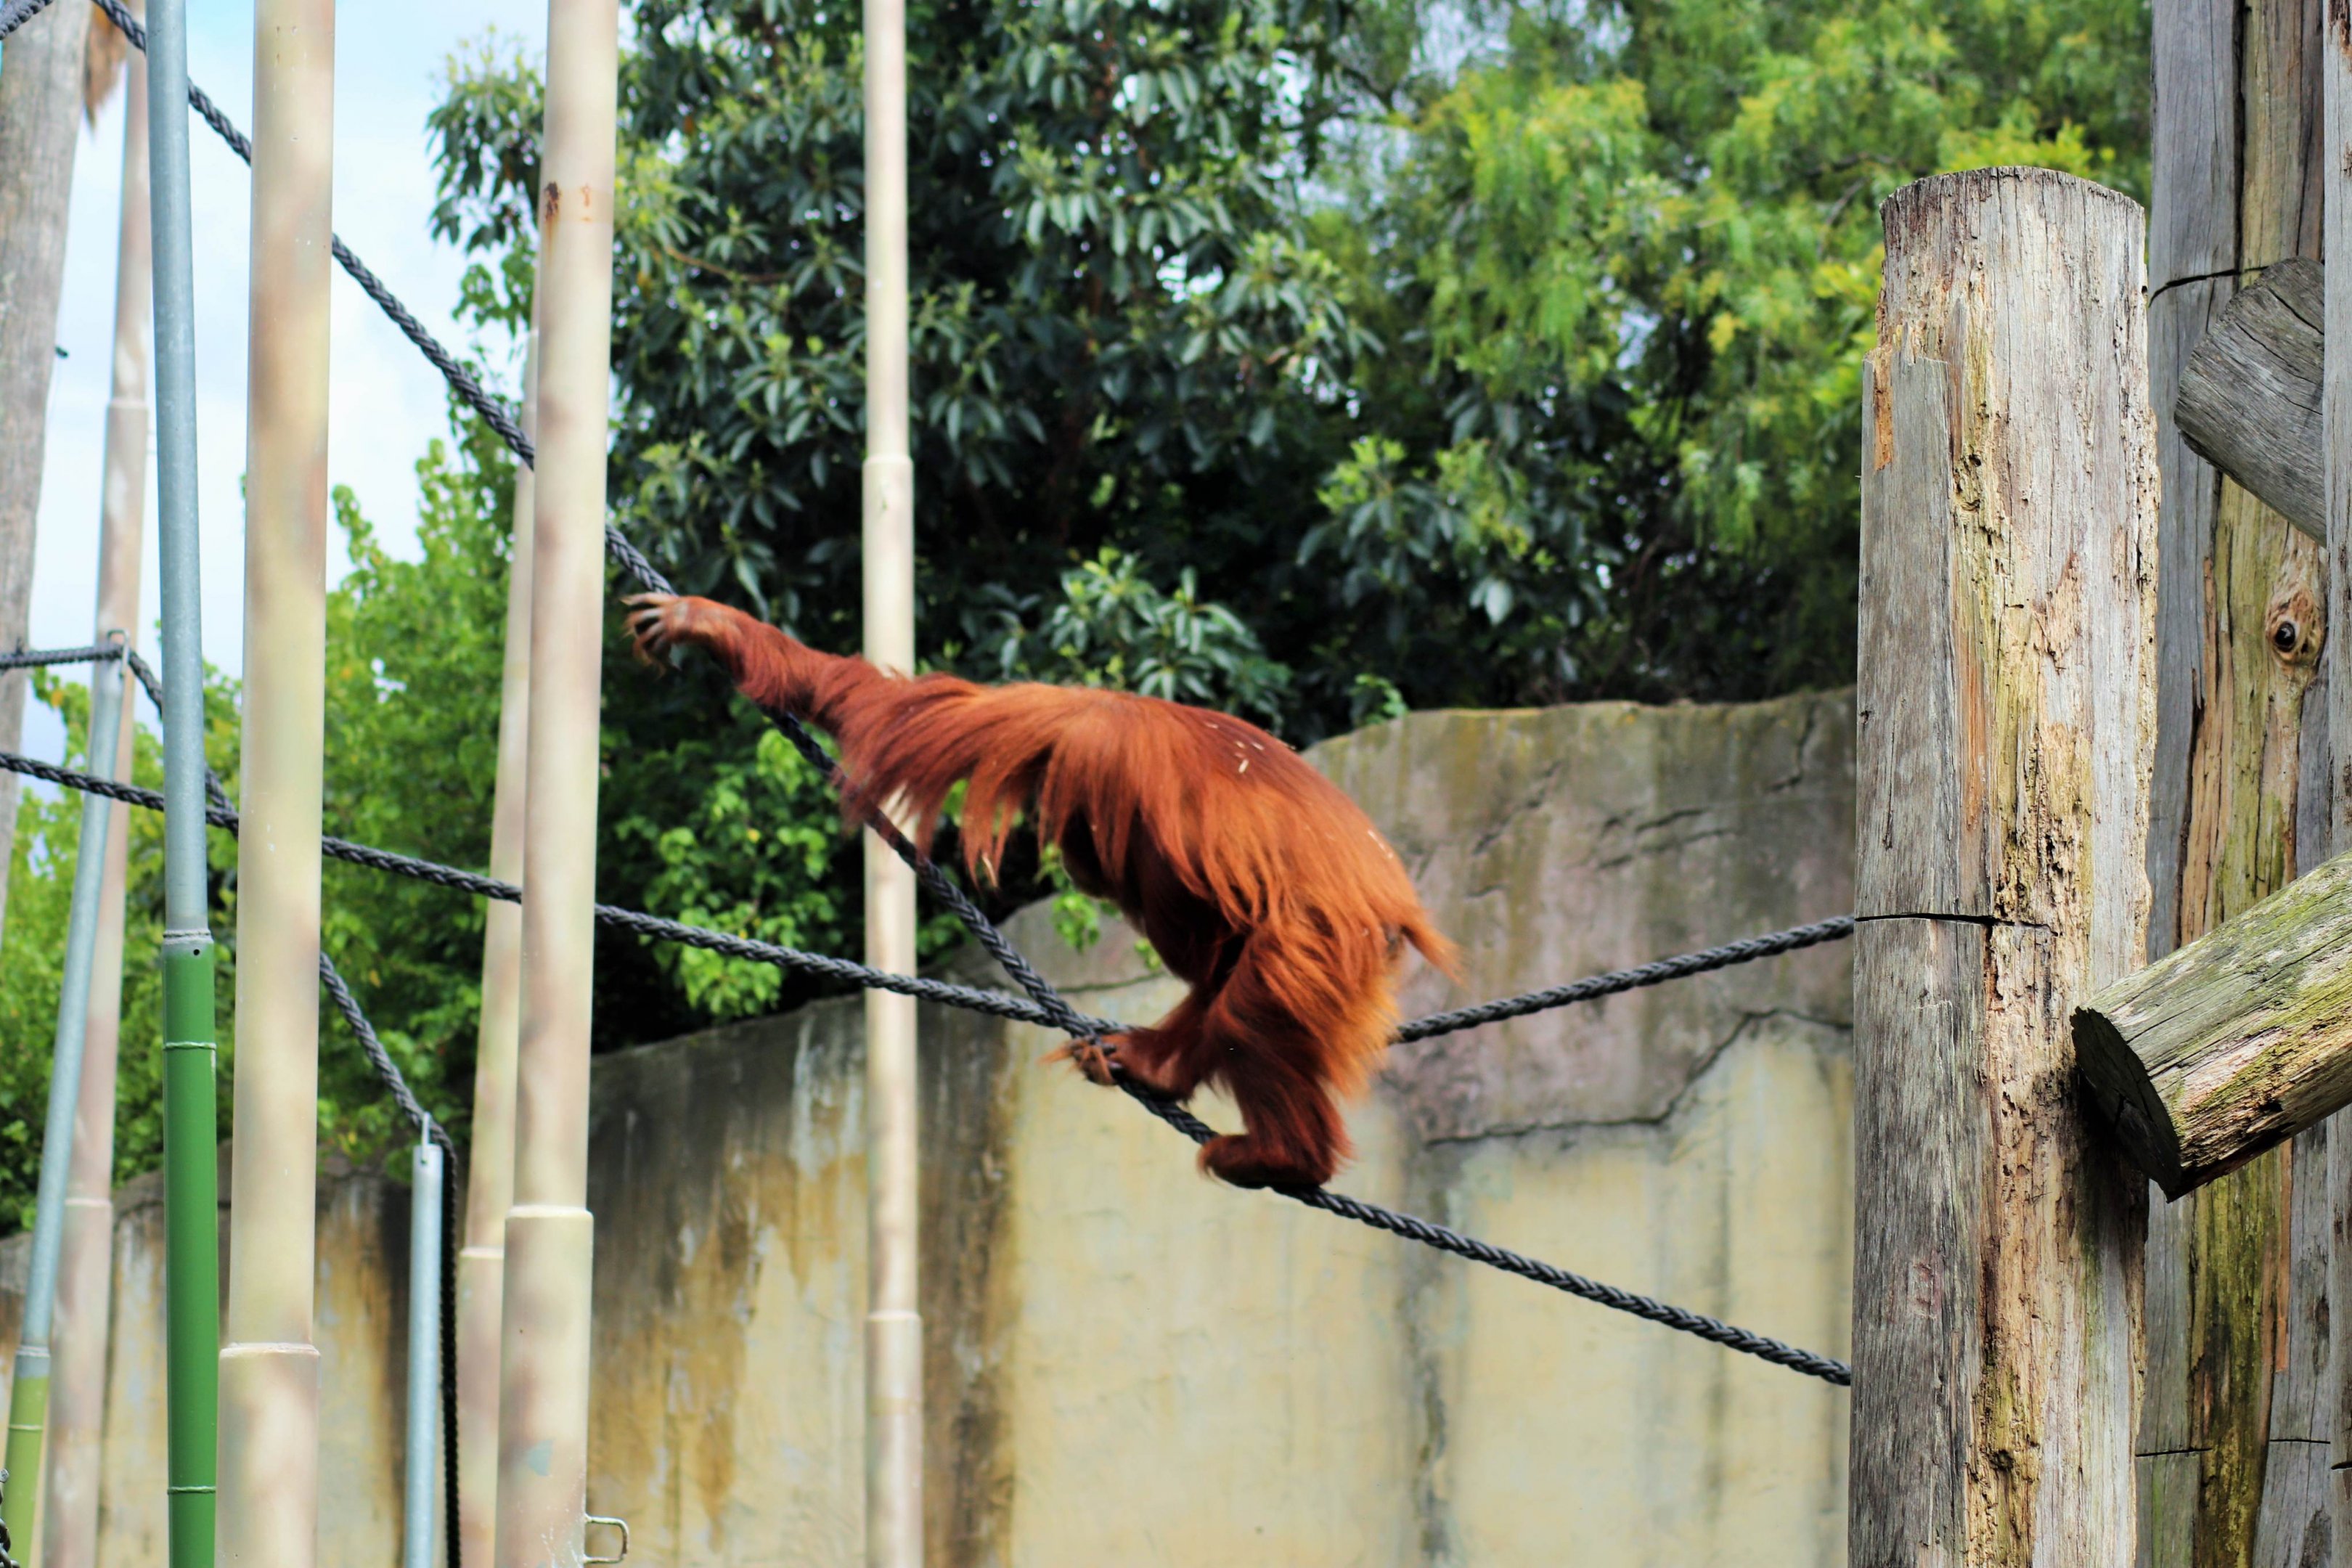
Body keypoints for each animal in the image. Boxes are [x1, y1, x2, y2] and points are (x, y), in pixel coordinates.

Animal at [626, 592, 1457, 1189]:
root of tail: (1394, 909)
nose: (1079, 866)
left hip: (1315, 939)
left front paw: (712, 625)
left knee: (1248, 1008)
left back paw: (1282, 1158)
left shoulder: (1072, 734)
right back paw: (1166, 1072)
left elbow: (912, 716)